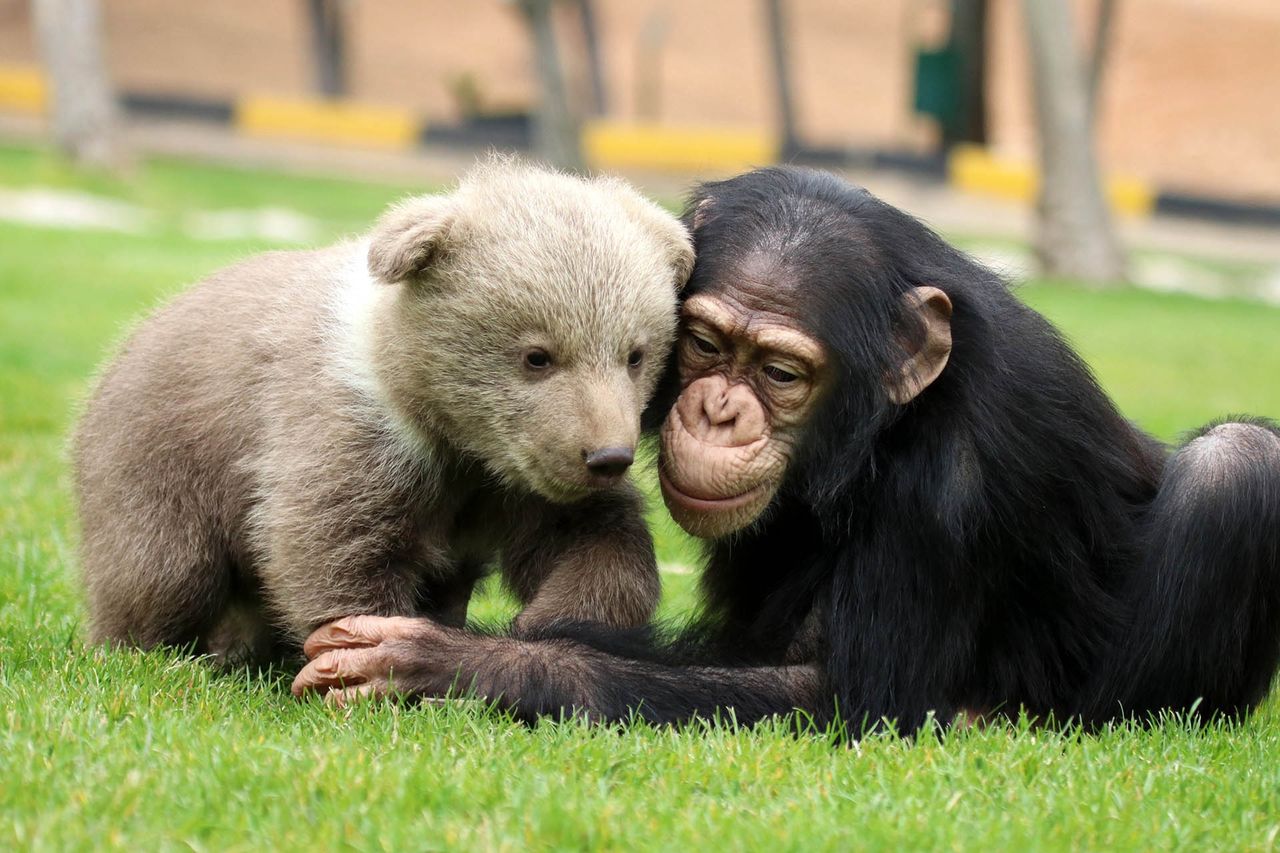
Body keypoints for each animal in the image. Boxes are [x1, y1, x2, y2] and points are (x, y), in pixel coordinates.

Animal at [290, 166, 1280, 732]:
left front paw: (454, 662)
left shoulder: (957, 475)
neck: (883, 428)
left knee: (1238, 465)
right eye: (704, 343)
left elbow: (846, 695)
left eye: (779, 370)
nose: (721, 410)